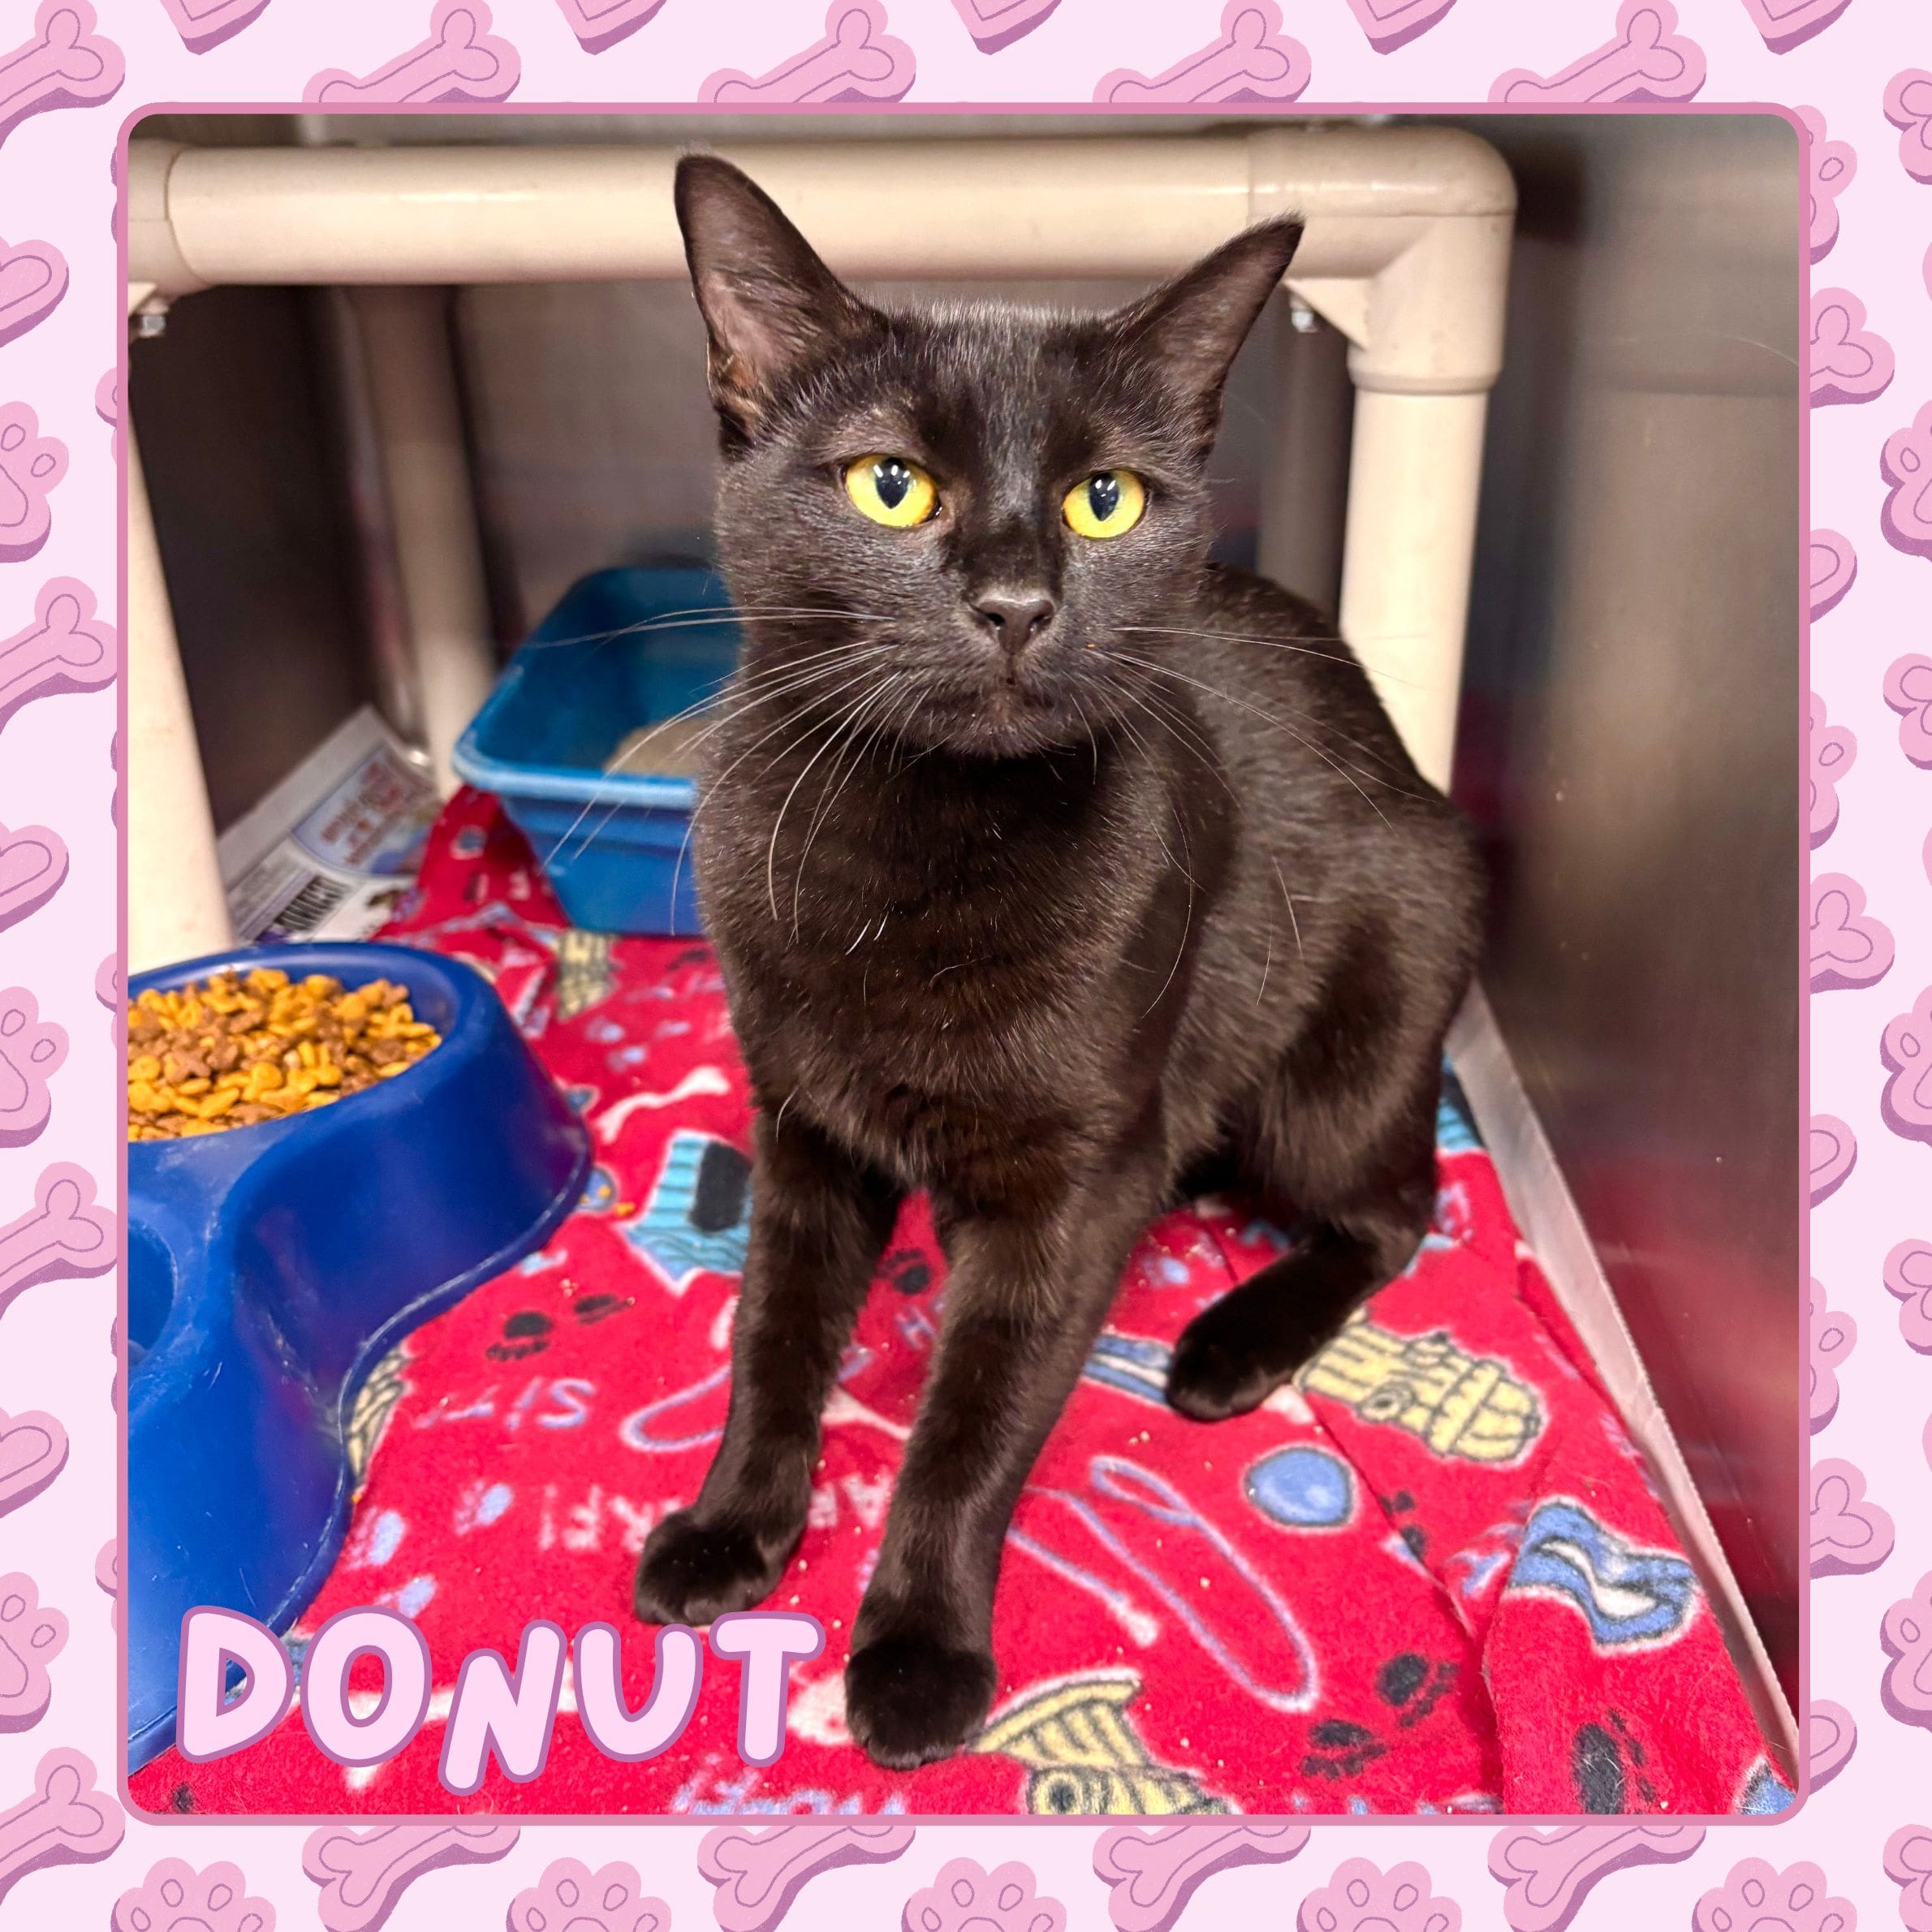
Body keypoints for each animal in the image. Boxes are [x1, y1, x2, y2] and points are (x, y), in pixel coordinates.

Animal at [632, 153, 1484, 1772]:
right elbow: (772, 1336)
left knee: (1399, 1211)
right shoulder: (803, 1128)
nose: (1020, 602)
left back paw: (1227, 1342)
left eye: (1106, 501)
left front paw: (915, 1651)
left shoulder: (1067, 1192)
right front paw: (729, 1524)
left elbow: (969, 1433)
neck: (918, 848)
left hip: (1351, 1051)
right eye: (891, 483)